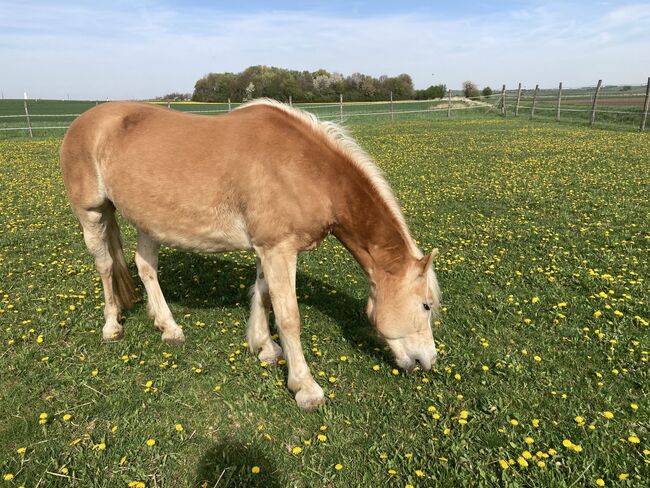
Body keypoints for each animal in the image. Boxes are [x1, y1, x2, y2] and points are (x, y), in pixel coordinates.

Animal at [59, 100, 440, 412]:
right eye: (425, 305)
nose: (428, 361)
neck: (303, 168)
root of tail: (85, 121)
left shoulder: (267, 248)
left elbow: (264, 293)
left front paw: (264, 348)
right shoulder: (278, 249)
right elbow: (289, 317)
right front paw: (305, 387)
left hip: (148, 222)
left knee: (145, 267)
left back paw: (168, 327)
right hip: (92, 213)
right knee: (106, 266)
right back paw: (112, 326)